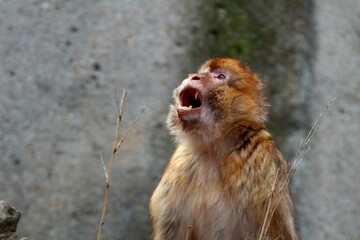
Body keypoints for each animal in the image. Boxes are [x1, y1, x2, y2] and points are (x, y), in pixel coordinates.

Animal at [149, 58, 298, 240]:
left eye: (220, 76)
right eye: (204, 72)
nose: (193, 76)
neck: (212, 147)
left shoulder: (261, 165)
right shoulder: (180, 164)